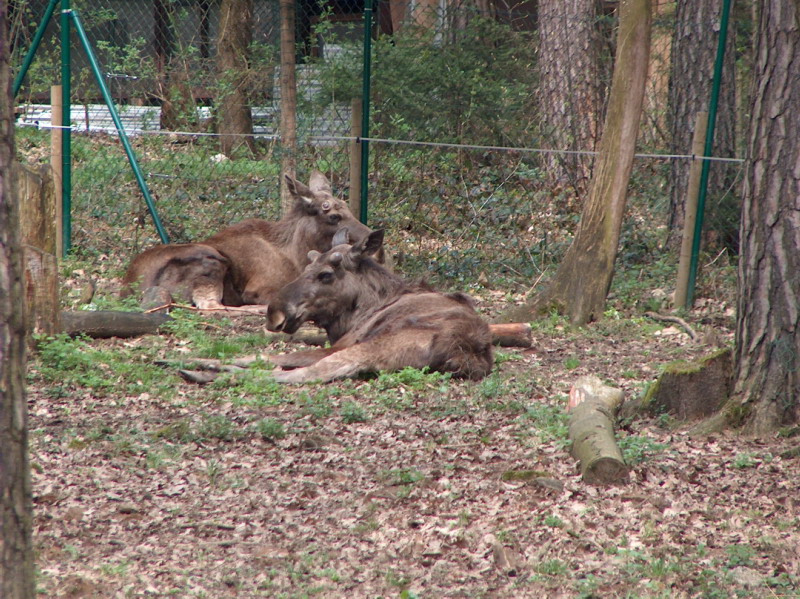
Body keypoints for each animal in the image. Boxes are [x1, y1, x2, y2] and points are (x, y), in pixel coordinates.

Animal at [120, 171, 372, 311]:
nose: (370, 238)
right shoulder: (260, 288)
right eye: (333, 216)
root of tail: (132, 288)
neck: (295, 255)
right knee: (213, 307)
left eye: (347, 207)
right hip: (212, 261)